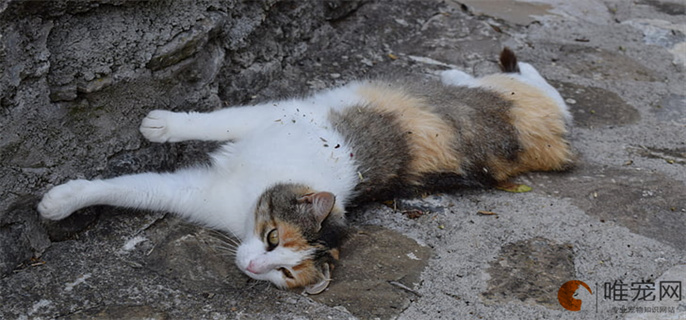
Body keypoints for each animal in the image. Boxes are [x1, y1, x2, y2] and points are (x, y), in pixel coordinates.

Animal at [37, 48, 576, 296]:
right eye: (274, 237)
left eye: (286, 272)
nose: (255, 267)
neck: (247, 200)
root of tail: (555, 146)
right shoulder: (272, 115)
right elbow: (214, 120)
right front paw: (163, 125)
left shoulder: (195, 191)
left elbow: (136, 189)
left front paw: (60, 201)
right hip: (514, 99)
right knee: (532, 79)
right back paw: (457, 73)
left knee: (544, 89)